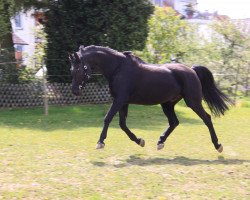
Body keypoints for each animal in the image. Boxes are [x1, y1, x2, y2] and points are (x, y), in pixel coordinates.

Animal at [69, 45, 232, 152]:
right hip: (167, 104)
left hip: (193, 102)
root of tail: (192, 70)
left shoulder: (119, 100)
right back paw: (160, 142)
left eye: (78, 69)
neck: (118, 69)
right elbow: (122, 124)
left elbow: (107, 118)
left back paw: (218, 145)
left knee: (207, 118)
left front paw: (100, 142)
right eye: (71, 69)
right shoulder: (123, 102)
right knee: (174, 122)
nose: (75, 91)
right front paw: (140, 141)